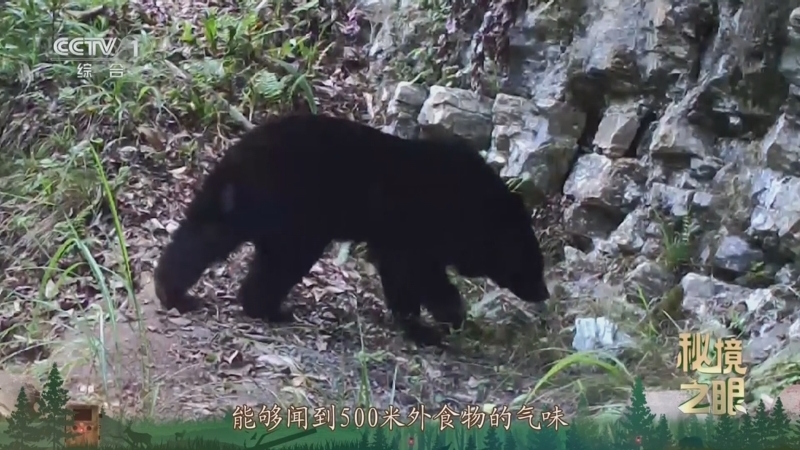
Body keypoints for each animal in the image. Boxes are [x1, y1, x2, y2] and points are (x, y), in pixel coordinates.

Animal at [154, 114, 550, 346]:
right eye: (534, 263)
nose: (543, 293)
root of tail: (238, 156)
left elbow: (401, 274)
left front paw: (422, 322)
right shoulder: (416, 226)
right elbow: (416, 272)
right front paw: (444, 320)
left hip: (241, 205)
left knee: (204, 235)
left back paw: (174, 291)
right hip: (296, 211)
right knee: (280, 262)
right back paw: (269, 309)